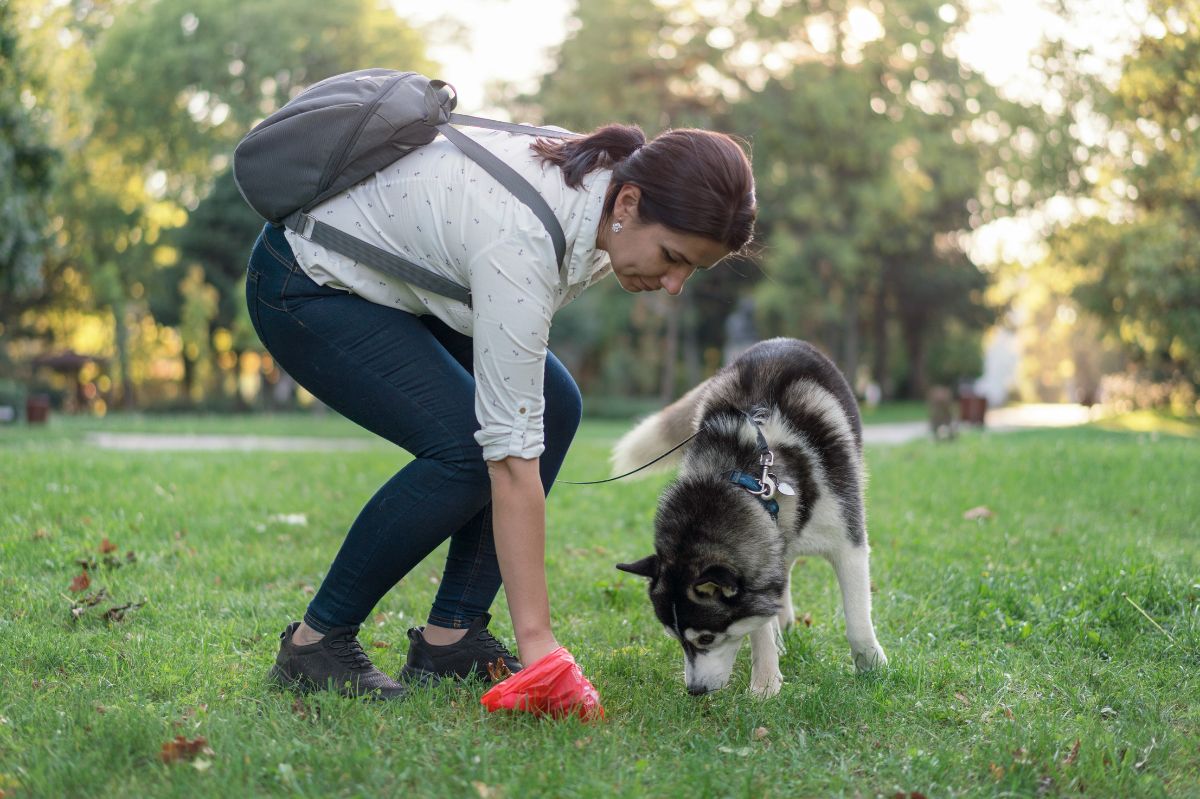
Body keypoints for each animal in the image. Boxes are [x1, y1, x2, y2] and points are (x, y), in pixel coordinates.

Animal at [614, 333, 888, 695]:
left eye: (706, 638)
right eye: (675, 638)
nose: (695, 691)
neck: (749, 477)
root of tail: (780, 339)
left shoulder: (847, 541)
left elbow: (856, 616)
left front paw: (871, 665)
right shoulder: (763, 558)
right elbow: (759, 625)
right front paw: (766, 684)